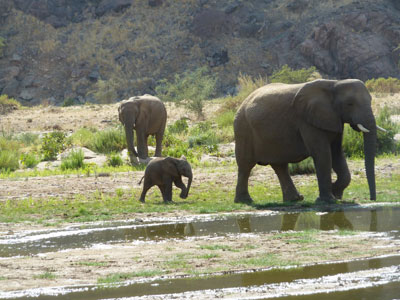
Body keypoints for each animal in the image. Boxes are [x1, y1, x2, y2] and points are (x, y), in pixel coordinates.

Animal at [234, 79, 384, 205]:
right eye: (350, 104)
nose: (372, 199)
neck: (334, 83)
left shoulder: (334, 119)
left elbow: (337, 153)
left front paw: (336, 194)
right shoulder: (307, 120)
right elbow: (322, 153)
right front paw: (329, 200)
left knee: (280, 165)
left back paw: (295, 199)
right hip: (243, 129)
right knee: (246, 165)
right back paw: (245, 201)